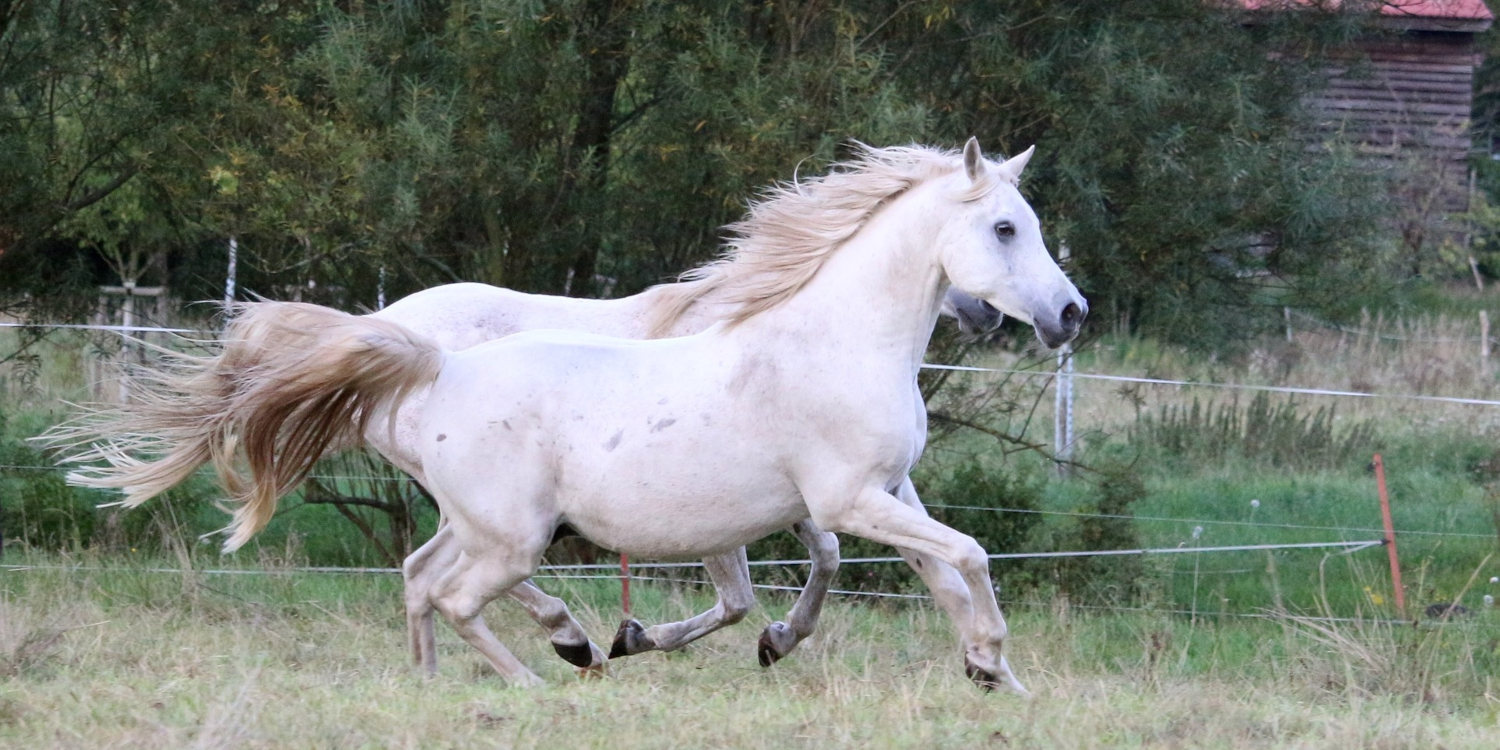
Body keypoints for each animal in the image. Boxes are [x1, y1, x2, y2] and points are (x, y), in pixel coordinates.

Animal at [49, 141, 1080, 690]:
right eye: (1004, 228)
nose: (1070, 315)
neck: (826, 340)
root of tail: (426, 358)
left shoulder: (886, 492)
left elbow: (940, 573)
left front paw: (995, 678)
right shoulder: (845, 501)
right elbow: (962, 558)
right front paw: (990, 661)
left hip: (483, 523)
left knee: (421, 580)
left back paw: (446, 682)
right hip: (513, 536)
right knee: (457, 594)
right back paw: (550, 667)